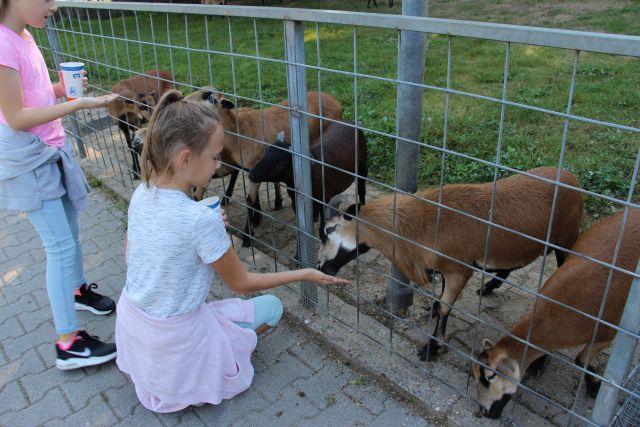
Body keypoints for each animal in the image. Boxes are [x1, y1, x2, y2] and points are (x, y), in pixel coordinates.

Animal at [191, 88, 344, 247]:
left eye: (212, 99)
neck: (239, 130)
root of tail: (335, 101)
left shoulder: (255, 167)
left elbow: (250, 201)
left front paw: (247, 236)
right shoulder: (254, 169)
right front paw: (256, 220)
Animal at [318, 167, 584, 362]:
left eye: (330, 230)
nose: (321, 268)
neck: (417, 226)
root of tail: (571, 177)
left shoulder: (459, 271)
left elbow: (446, 307)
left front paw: (431, 348)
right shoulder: (444, 270)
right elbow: (441, 299)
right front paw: (433, 313)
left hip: (565, 240)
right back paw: (488, 288)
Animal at [472, 209, 636, 420]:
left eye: (488, 379)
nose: (484, 412)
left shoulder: (607, 333)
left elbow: (580, 360)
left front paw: (594, 388)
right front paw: (540, 363)